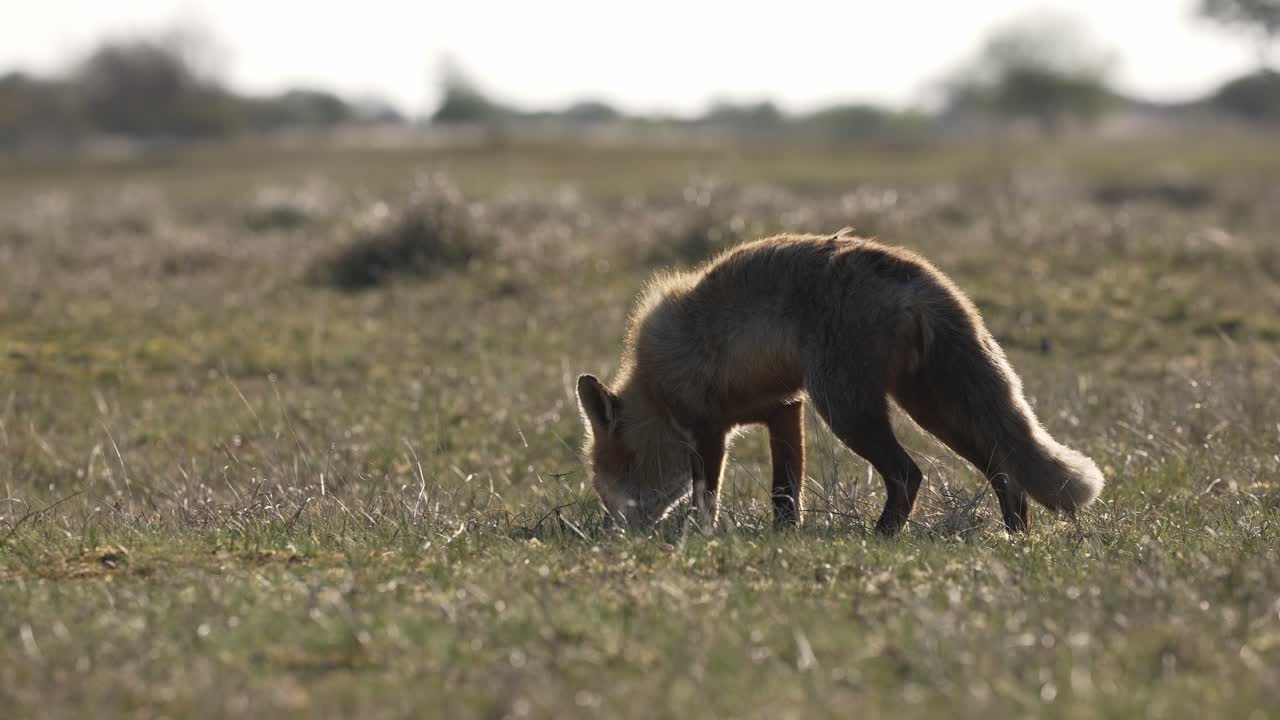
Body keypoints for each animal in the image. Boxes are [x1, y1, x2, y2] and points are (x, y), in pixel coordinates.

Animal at [575, 230, 1104, 535]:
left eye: (607, 483)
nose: (613, 532)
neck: (654, 385)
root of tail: (915, 276)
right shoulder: (783, 407)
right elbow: (785, 491)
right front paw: (785, 536)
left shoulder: (707, 428)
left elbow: (708, 492)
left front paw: (702, 533)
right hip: (930, 407)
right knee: (1003, 468)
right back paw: (1016, 534)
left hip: (848, 408)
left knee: (910, 474)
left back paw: (883, 536)